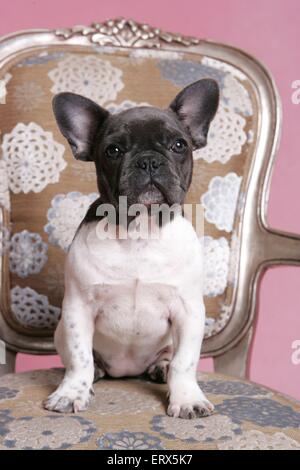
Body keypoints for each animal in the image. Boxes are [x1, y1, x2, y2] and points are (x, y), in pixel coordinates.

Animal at [44, 78, 218, 418]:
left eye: (179, 145)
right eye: (113, 150)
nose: (149, 160)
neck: (141, 230)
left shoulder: (189, 311)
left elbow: (185, 362)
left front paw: (187, 398)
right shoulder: (78, 308)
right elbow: (79, 358)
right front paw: (71, 393)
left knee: (168, 357)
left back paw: (160, 368)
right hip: (60, 331)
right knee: (80, 359)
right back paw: (97, 371)